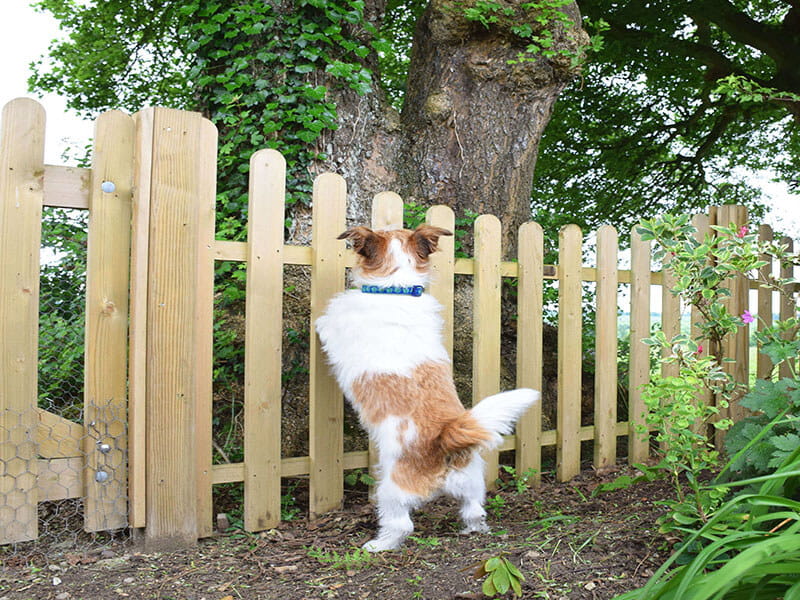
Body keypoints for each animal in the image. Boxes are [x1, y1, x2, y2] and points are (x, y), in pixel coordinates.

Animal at [312, 223, 536, 552]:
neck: (396, 288)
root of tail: (446, 437)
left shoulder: (335, 326)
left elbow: (324, 323)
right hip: (472, 480)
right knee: (474, 510)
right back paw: (473, 529)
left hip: (392, 487)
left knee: (401, 524)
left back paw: (379, 544)